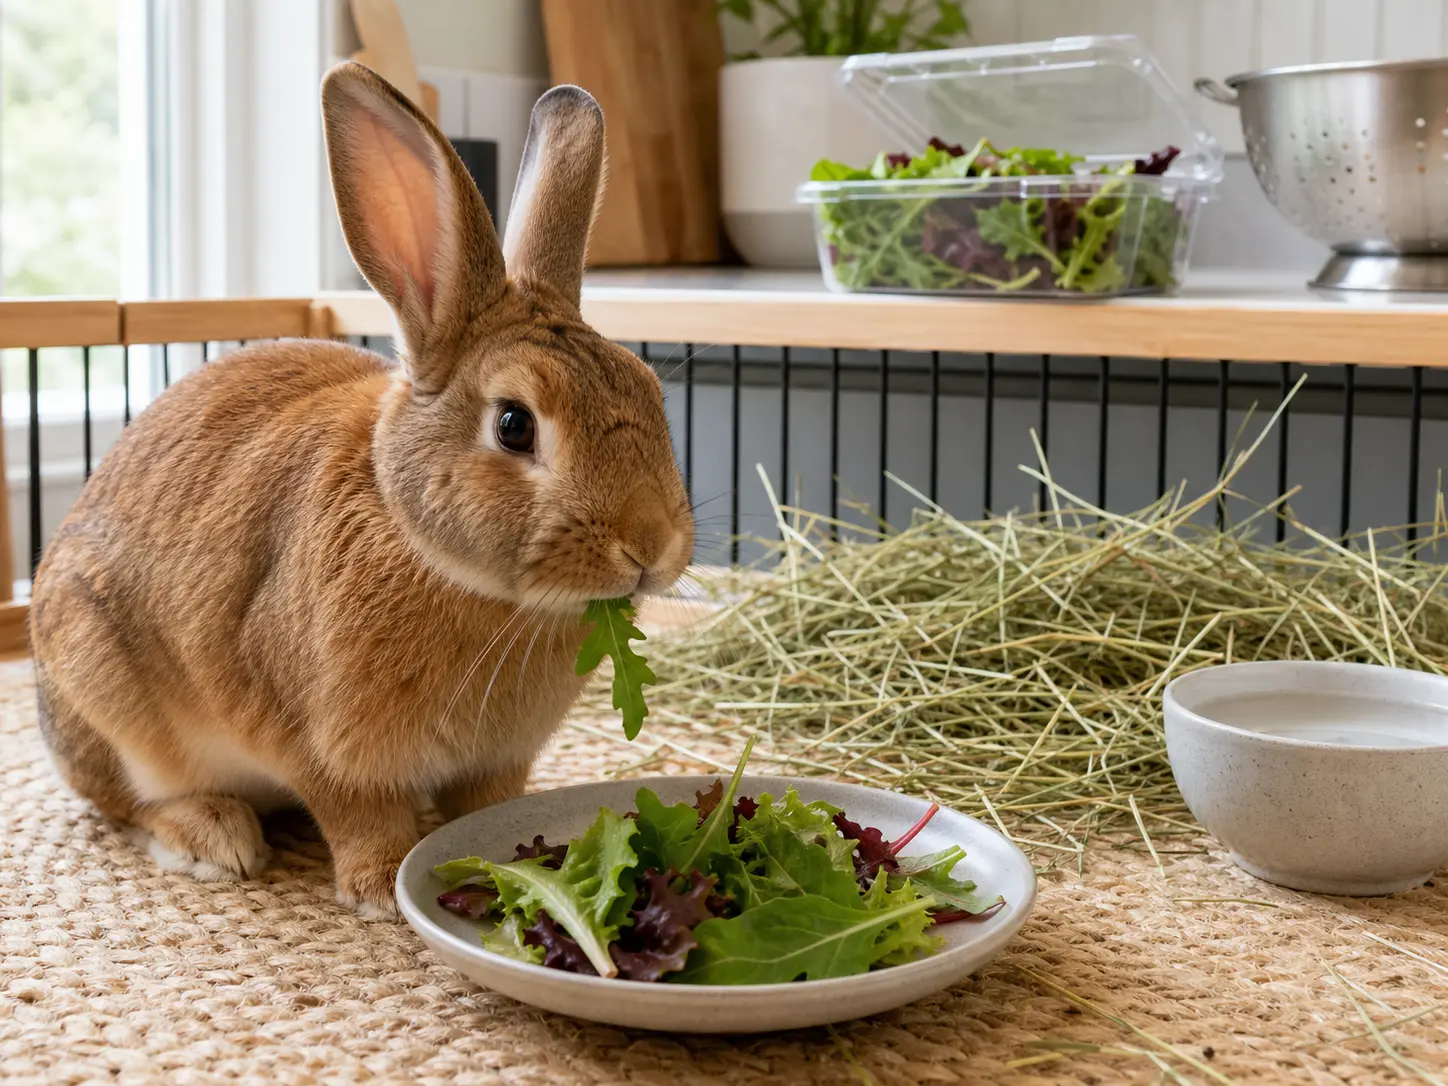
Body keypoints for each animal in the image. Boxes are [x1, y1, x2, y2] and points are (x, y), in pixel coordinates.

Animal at [28, 61, 694, 917]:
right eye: (514, 425)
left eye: (649, 389)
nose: (651, 546)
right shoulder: (320, 744)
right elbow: (355, 813)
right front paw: (380, 887)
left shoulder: (499, 760)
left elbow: (489, 803)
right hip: (103, 688)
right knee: (127, 800)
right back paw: (214, 836)